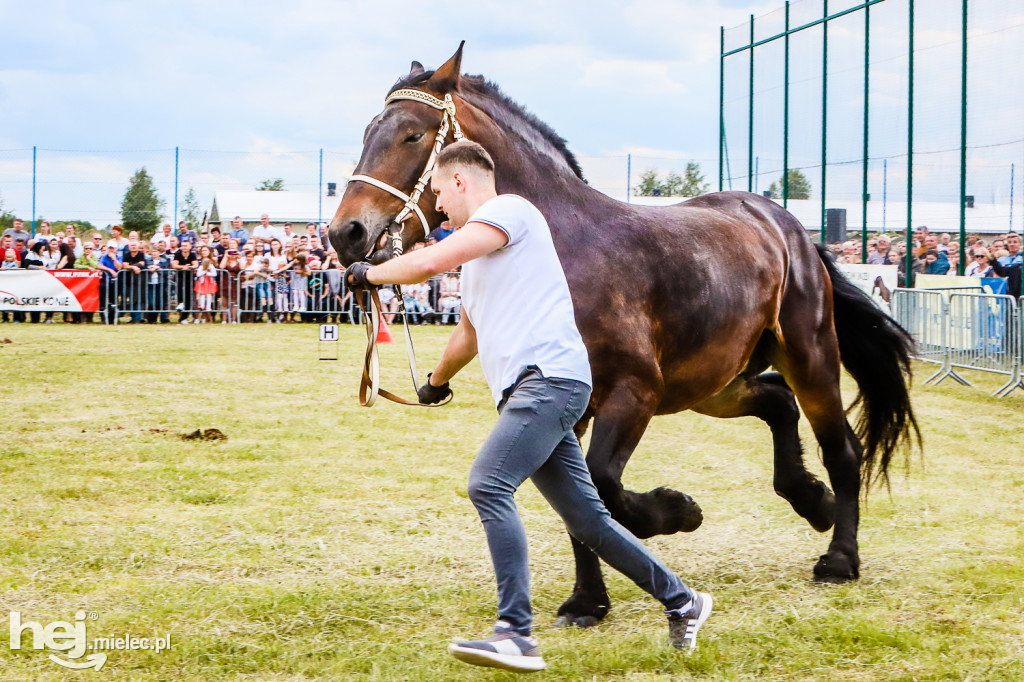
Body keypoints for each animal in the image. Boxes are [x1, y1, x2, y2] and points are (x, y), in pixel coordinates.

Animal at [329, 45, 921, 622]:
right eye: (367, 133)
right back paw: (811, 500)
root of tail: (789, 227)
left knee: (841, 449)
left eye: (412, 134)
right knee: (777, 402)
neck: (564, 248)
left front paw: (679, 511)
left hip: (808, 357)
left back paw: (839, 556)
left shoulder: (635, 392)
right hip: (713, 383)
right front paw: (588, 601)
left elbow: (604, 488)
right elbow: (579, 504)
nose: (344, 234)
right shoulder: (567, 410)